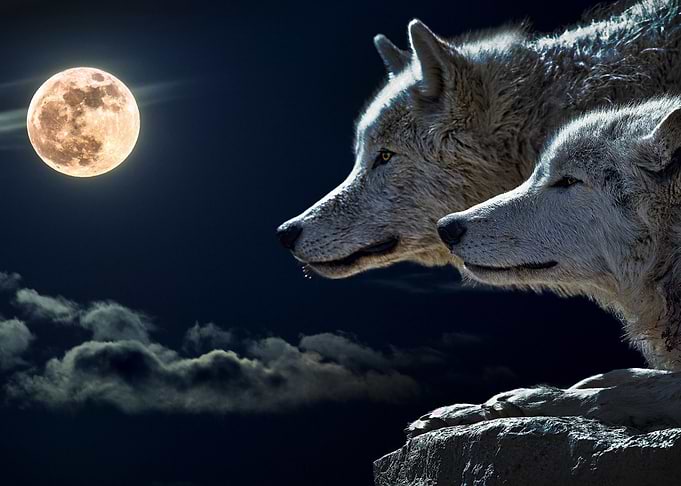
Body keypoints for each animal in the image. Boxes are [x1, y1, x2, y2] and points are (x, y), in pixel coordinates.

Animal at [407, 96, 681, 437]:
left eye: (568, 180)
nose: (446, 227)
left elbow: (619, 392)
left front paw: (519, 401)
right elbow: (626, 376)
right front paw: (463, 410)